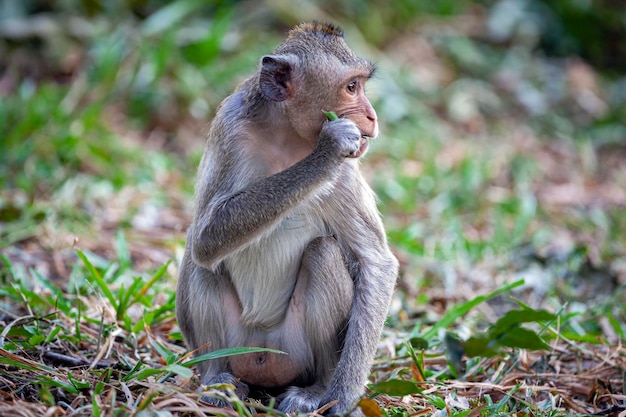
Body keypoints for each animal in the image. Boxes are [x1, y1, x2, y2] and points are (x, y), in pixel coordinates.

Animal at [176, 22, 398, 412]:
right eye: (351, 87)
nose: (372, 117)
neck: (286, 135)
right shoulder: (229, 129)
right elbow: (205, 239)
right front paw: (326, 152)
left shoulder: (345, 172)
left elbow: (375, 263)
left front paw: (342, 396)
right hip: (240, 345)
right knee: (201, 257)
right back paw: (218, 380)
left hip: (293, 351)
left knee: (323, 254)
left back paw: (317, 389)